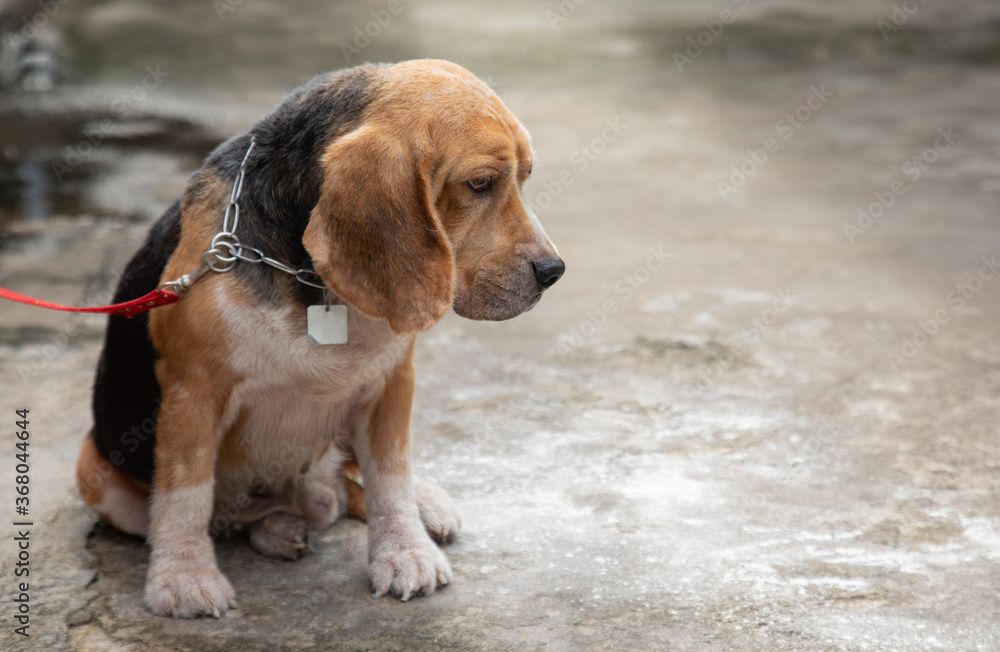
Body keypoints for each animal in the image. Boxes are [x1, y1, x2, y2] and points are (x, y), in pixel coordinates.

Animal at [74, 59, 564, 616]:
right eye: (480, 183)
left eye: (524, 177)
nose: (553, 272)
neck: (308, 277)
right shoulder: (192, 393)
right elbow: (185, 494)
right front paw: (184, 578)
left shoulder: (392, 382)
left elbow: (390, 478)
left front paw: (404, 552)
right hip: (94, 473)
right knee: (232, 515)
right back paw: (277, 528)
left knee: (349, 485)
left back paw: (418, 503)